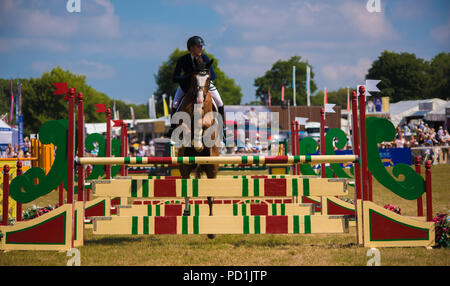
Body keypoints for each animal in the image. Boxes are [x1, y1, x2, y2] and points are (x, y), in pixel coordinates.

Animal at [171, 57, 221, 237]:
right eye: (193, 78)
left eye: (208, 78)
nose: (199, 99)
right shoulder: (182, 123)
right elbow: (187, 128)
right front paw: (194, 143)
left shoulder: (210, 124)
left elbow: (203, 125)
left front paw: (199, 144)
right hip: (184, 165)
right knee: (186, 188)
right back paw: (186, 213)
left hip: (212, 167)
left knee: (211, 196)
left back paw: (212, 230)